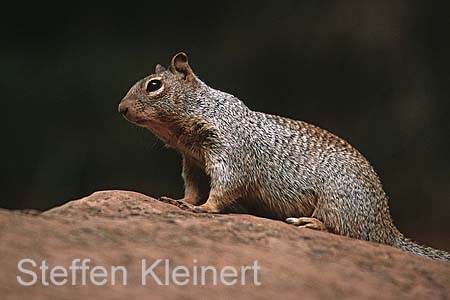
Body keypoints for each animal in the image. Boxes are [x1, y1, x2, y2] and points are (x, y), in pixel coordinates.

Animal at [118, 51, 448, 260]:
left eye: (154, 85)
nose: (121, 109)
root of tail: (388, 228)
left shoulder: (229, 150)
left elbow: (226, 186)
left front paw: (204, 208)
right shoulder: (193, 162)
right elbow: (193, 187)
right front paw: (180, 201)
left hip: (339, 200)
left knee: (349, 232)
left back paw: (311, 223)